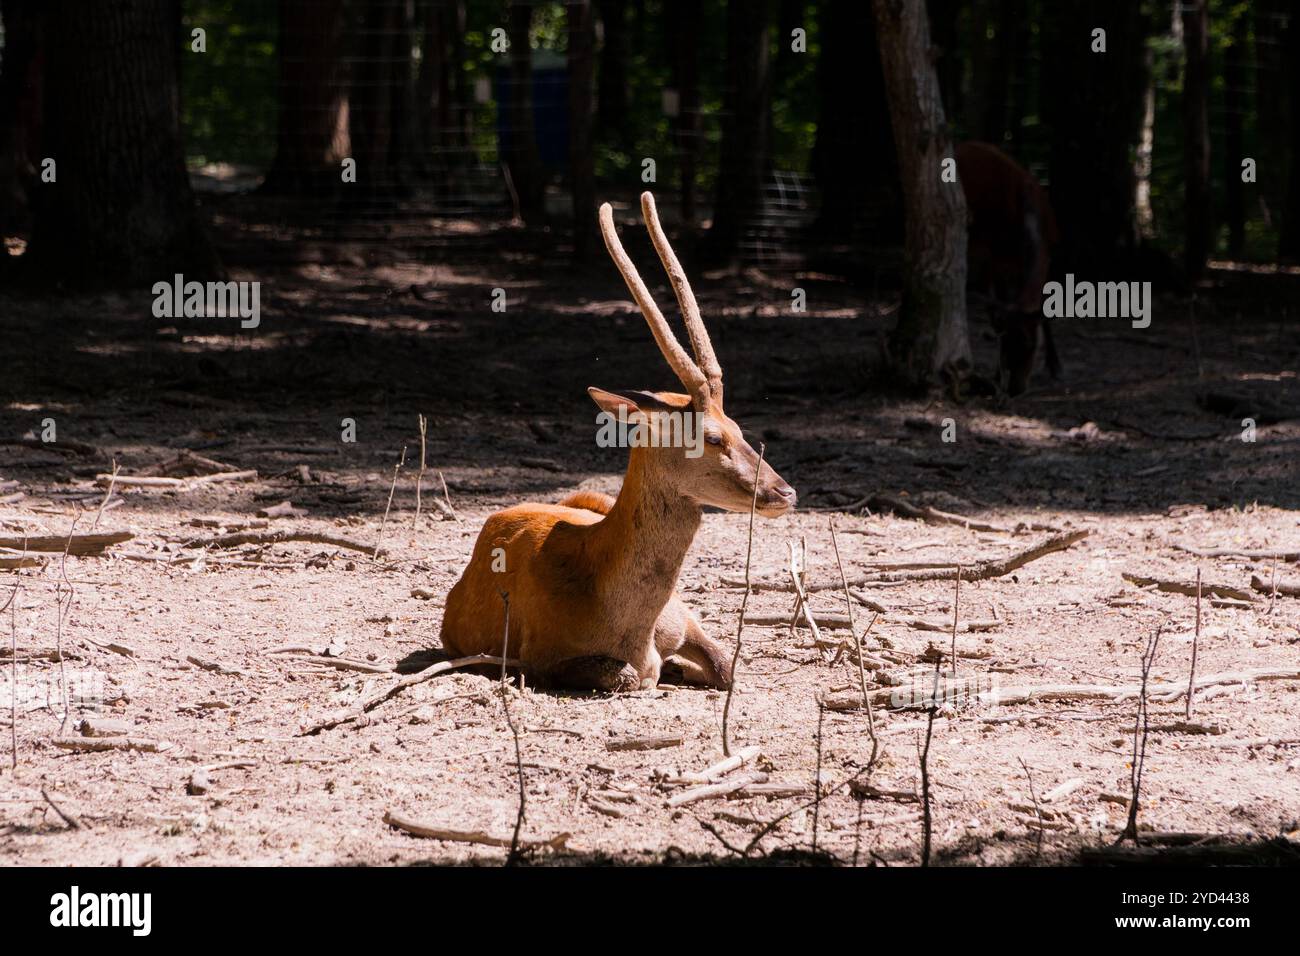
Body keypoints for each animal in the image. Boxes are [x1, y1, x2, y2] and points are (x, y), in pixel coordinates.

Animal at [439, 192, 796, 692]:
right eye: (711, 437)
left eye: (741, 429)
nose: (785, 492)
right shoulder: (539, 657)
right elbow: (631, 676)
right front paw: (668, 669)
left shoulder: (686, 616)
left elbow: (729, 668)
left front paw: (685, 666)